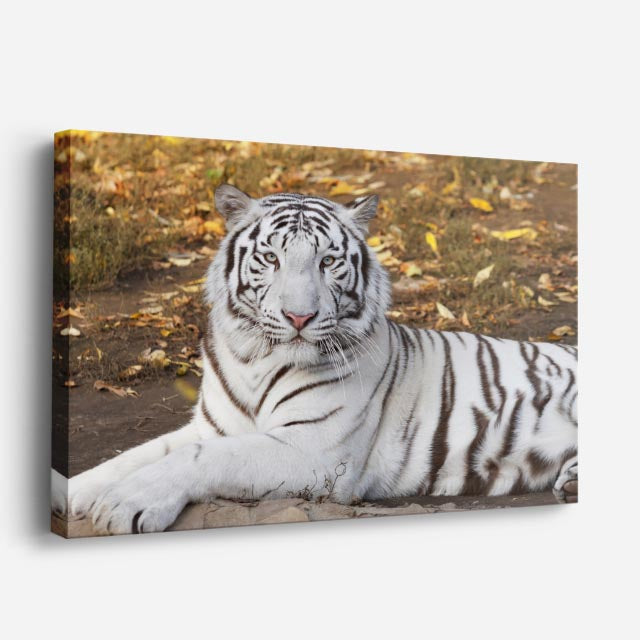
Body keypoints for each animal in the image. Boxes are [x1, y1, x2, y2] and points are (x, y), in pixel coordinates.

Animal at [51, 184, 578, 534]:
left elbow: (203, 458)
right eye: (271, 259)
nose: (299, 317)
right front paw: (70, 494)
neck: (254, 359)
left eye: (328, 261)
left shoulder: (314, 450)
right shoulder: (212, 426)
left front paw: (126, 504)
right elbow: (133, 456)